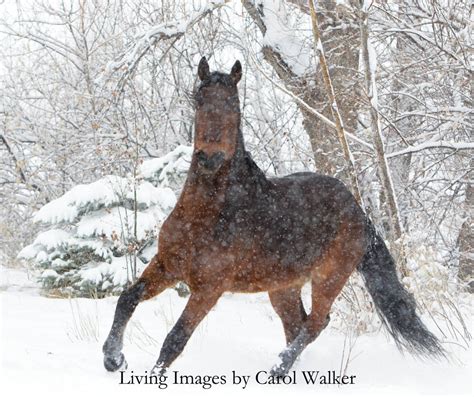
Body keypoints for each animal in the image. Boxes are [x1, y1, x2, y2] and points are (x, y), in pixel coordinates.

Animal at [102, 57, 442, 376]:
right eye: (199, 98)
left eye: (233, 102)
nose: (210, 157)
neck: (205, 215)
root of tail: (359, 212)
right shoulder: (168, 265)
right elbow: (127, 298)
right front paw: (113, 359)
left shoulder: (209, 287)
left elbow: (176, 338)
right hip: (283, 287)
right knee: (298, 325)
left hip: (329, 278)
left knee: (316, 323)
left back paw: (277, 370)